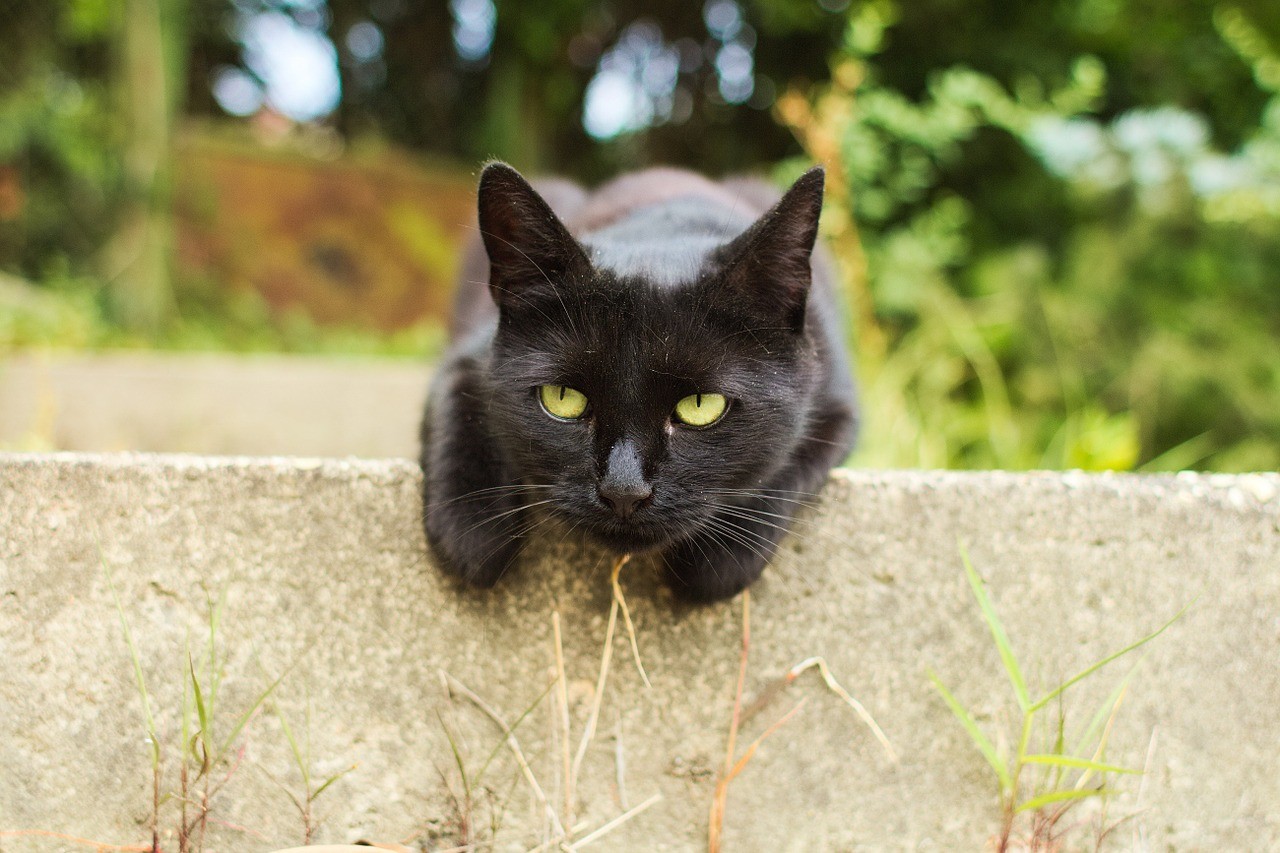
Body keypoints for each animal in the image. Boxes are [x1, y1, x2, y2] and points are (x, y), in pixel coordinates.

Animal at [422, 159, 860, 596]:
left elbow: (791, 460)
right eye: (562, 398)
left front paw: (720, 559)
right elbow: (459, 406)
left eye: (701, 406)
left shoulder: (840, 403)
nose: (623, 492)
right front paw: (473, 529)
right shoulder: (468, 357)